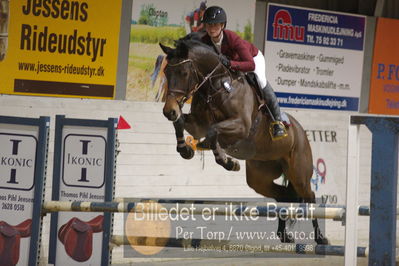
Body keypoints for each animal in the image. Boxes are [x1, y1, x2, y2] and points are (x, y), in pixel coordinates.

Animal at [159, 38, 328, 245]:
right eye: (167, 72)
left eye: (183, 73)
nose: (169, 111)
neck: (216, 86)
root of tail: (301, 132)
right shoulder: (198, 124)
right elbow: (182, 123)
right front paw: (186, 150)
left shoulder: (241, 126)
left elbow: (213, 132)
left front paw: (227, 161)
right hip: (260, 176)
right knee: (284, 195)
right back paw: (284, 235)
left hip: (299, 173)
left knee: (310, 197)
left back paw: (321, 238)